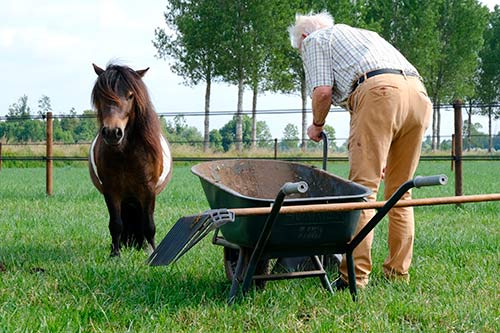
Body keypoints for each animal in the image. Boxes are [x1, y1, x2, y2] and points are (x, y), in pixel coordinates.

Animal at [90, 63, 174, 256]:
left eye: (130, 95)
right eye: (101, 95)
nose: (112, 132)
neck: (126, 153)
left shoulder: (148, 191)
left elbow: (149, 225)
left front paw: (152, 253)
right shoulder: (111, 190)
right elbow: (116, 225)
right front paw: (115, 254)